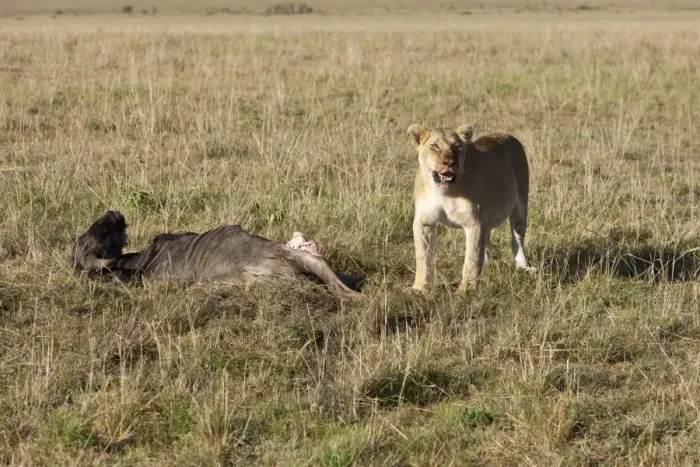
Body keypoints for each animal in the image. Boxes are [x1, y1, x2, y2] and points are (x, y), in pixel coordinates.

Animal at [407, 124, 535, 294]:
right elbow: (423, 259)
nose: (449, 162)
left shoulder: (474, 223)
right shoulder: (424, 223)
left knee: (517, 240)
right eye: (435, 146)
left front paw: (465, 291)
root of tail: (507, 135)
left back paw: (523, 267)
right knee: (486, 245)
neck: (444, 192)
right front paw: (420, 288)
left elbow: (472, 259)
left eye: (456, 147)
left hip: (520, 206)